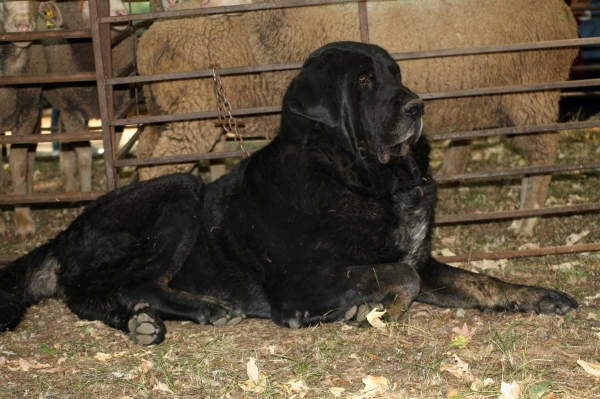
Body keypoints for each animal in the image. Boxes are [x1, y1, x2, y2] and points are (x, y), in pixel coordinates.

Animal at [1, 42, 580, 346]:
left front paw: (539, 296)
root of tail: (65, 234)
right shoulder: (304, 282)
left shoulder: (427, 259)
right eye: (365, 81)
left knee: (100, 298)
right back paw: (199, 309)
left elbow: (477, 280)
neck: (359, 178)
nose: (418, 106)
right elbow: (401, 275)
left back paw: (141, 323)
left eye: (396, 73)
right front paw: (369, 309)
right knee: (128, 283)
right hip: (181, 189)